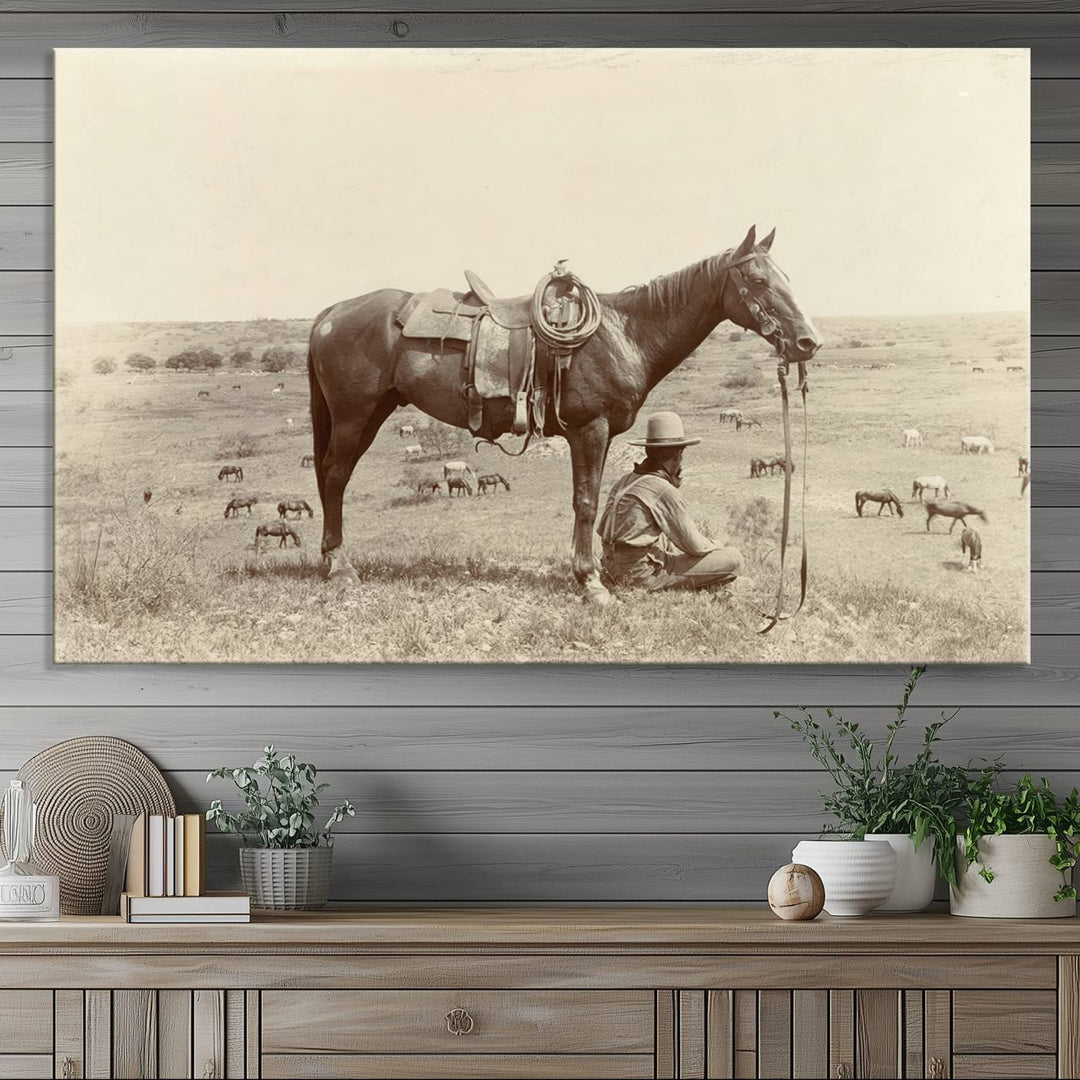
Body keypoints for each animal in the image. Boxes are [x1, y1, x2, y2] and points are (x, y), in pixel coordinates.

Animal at [304, 223, 816, 604]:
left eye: (788, 277)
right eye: (758, 281)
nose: (808, 341)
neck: (624, 333)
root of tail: (332, 312)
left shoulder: (601, 435)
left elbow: (592, 498)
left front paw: (585, 575)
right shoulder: (590, 430)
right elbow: (586, 502)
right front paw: (590, 584)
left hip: (372, 414)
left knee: (333, 477)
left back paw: (331, 561)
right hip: (353, 416)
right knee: (334, 476)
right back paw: (341, 567)